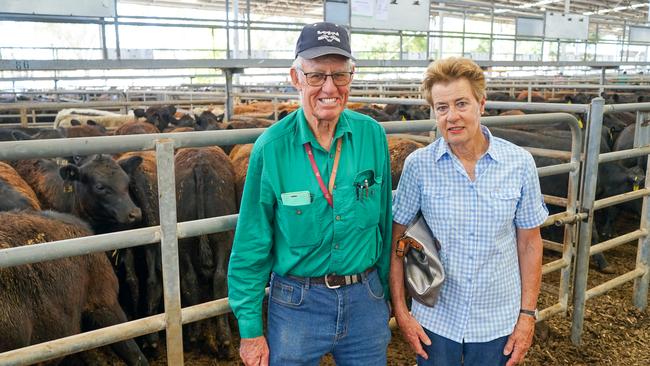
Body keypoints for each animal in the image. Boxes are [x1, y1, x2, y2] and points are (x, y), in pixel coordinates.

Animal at [176, 146, 237, 358]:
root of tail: (200, 166)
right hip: (224, 239)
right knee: (220, 279)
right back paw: (225, 342)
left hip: (184, 244)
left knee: (190, 280)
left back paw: (195, 337)